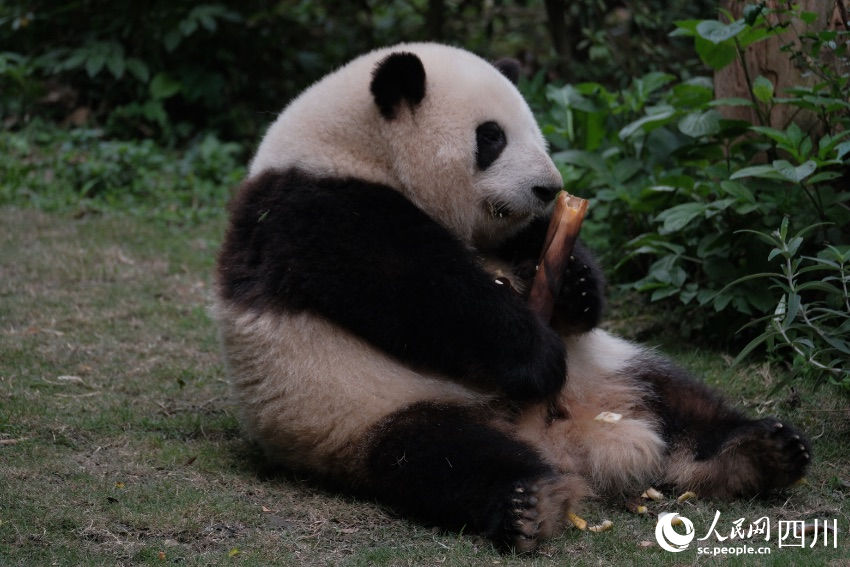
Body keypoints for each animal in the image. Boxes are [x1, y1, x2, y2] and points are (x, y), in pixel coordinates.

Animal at [212, 43, 808, 556]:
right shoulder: (317, 210)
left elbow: (535, 245)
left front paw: (576, 285)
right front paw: (536, 355)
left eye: (535, 132)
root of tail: (565, 439)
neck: (357, 148)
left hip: (608, 365)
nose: (548, 189)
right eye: (491, 137)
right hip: (358, 408)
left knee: (676, 398)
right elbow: (421, 291)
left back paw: (760, 452)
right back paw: (529, 502)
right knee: (441, 455)